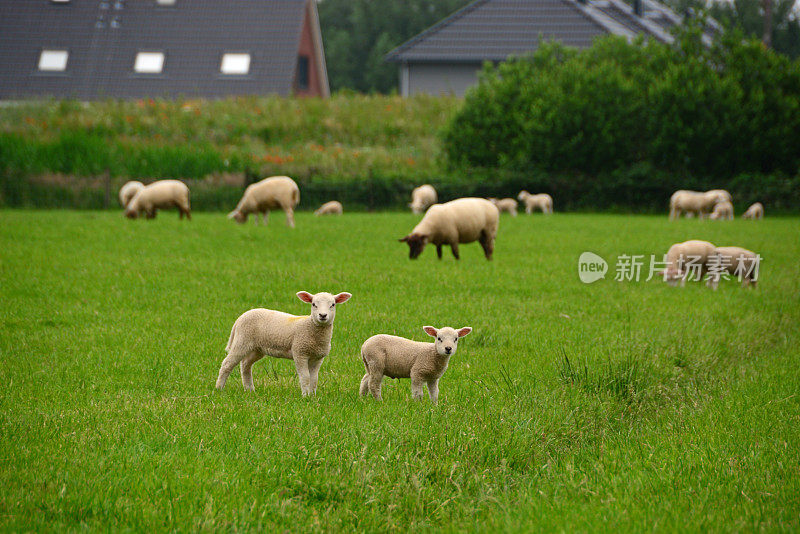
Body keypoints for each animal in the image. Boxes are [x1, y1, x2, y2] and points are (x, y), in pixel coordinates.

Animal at [220, 294, 354, 398]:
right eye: (313, 304)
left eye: (333, 304)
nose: (322, 315)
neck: (310, 327)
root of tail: (241, 317)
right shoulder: (300, 352)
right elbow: (305, 377)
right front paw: (305, 397)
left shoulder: (318, 357)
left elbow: (314, 379)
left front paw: (312, 396)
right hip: (242, 341)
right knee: (227, 364)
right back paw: (219, 388)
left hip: (256, 348)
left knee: (245, 365)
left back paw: (249, 390)